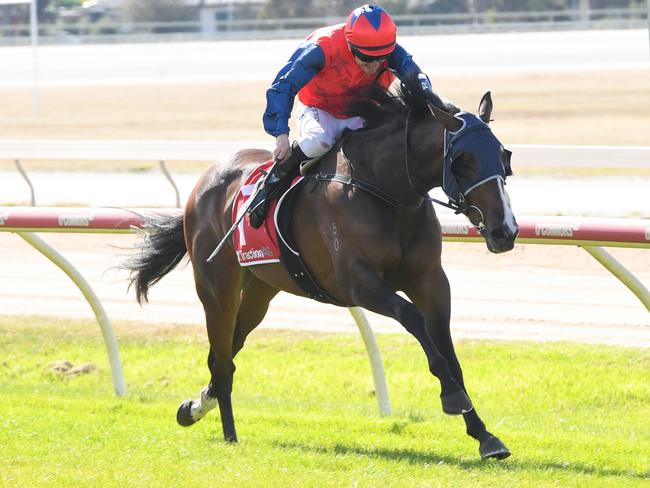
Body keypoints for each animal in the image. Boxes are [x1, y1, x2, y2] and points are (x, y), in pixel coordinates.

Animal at [121, 77, 516, 462]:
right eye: (464, 161)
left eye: (504, 156)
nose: (505, 231)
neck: (387, 189)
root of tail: (206, 179)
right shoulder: (358, 282)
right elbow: (413, 318)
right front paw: (452, 397)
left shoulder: (430, 280)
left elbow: (448, 350)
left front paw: (484, 435)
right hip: (217, 286)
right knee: (221, 360)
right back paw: (229, 433)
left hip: (261, 290)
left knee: (226, 350)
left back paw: (194, 408)